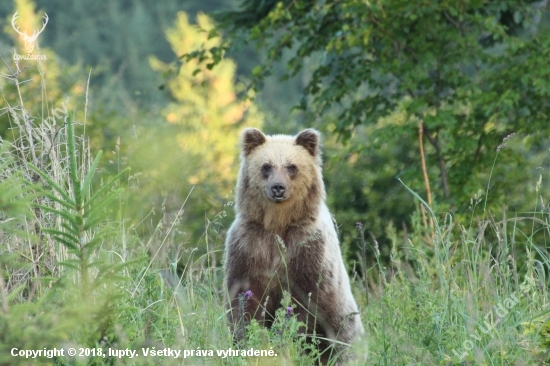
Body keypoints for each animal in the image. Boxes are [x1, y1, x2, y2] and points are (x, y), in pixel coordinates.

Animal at [224, 127, 366, 362]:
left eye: (292, 167)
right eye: (266, 166)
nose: (278, 188)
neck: (278, 225)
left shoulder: (307, 251)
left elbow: (304, 307)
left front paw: (291, 344)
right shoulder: (249, 247)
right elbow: (244, 303)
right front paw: (248, 343)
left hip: (345, 321)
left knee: (343, 346)